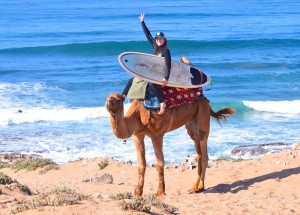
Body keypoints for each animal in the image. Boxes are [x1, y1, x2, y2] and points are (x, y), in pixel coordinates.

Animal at [105, 93, 234, 197]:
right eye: (107, 97)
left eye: (118, 100)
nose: (108, 102)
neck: (137, 115)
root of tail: (206, 100)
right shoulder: (137, 135)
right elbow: (141, 164)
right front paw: (137, 192)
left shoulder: (157, 134)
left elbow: (159, 163)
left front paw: (160, 192)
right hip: (191, 125)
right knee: (199, 152)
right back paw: (194, 187)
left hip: (203, 114)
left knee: (204, 151)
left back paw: (201, 187)